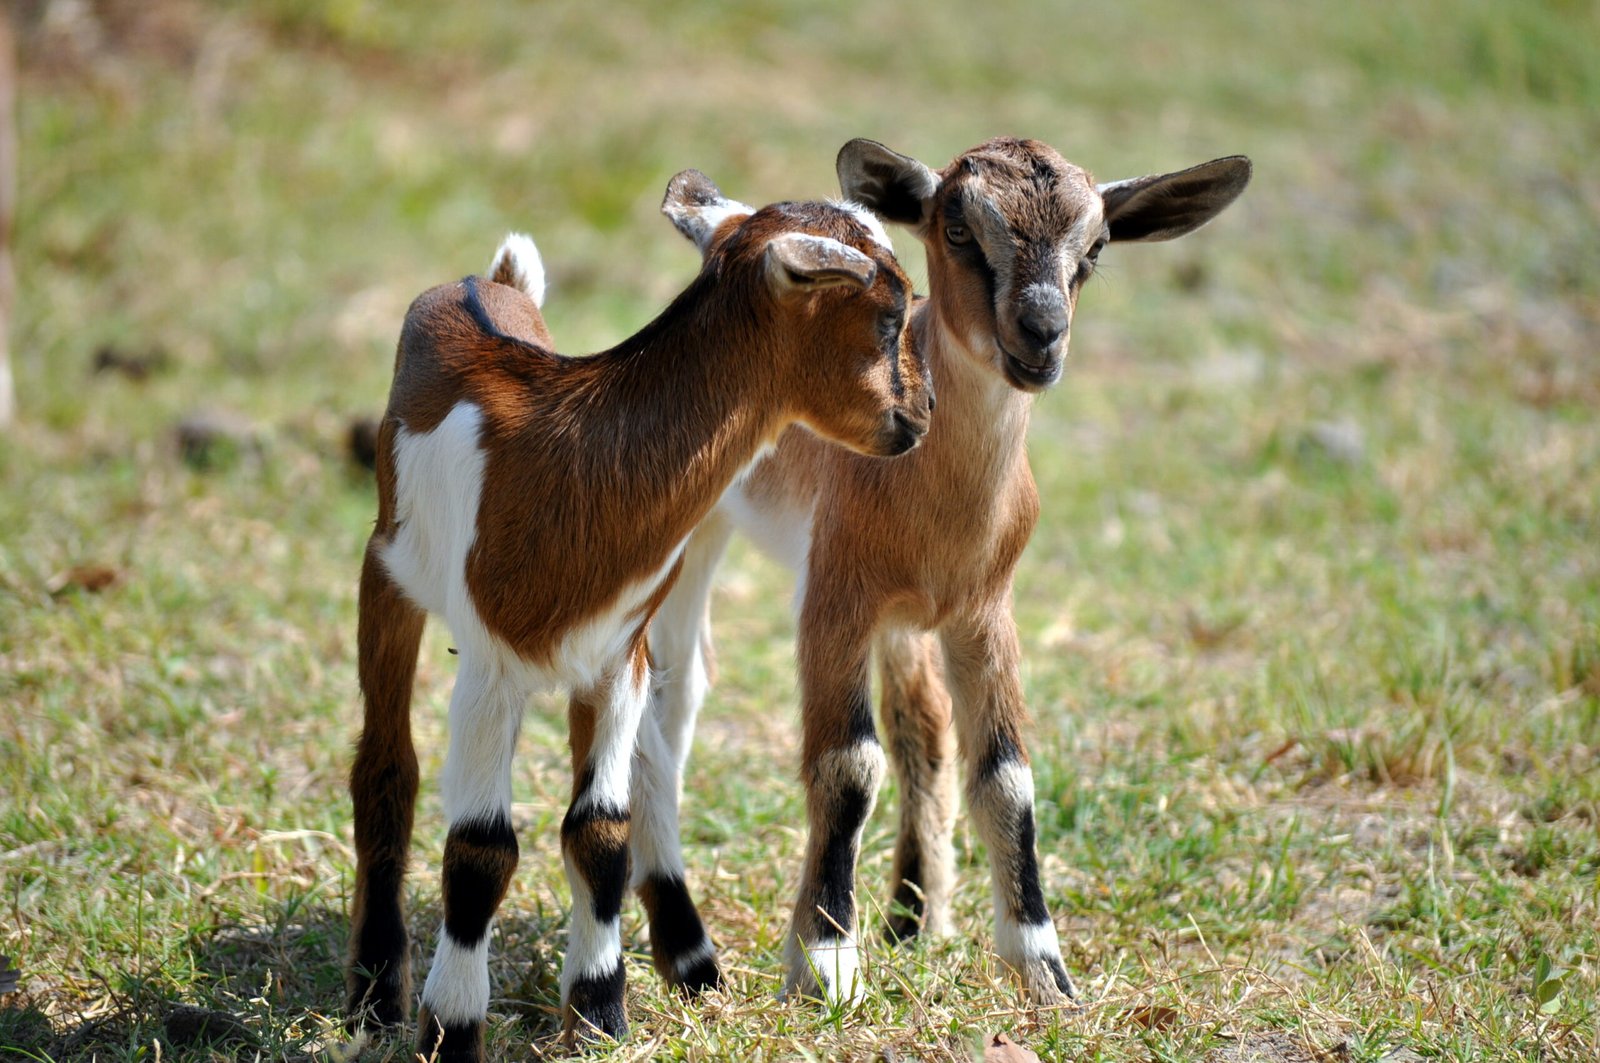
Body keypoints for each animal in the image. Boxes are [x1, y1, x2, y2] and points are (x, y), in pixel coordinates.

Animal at [344, 170, 932, 1058]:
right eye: (889, 316)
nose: (922, 415)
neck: (576, 458)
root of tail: (485, 282)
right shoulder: (490, 667)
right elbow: (479, 849)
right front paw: (451, 1029)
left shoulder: (616, 659)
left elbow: (601, 834)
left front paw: (599, 1013)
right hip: (387, 577)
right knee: (385, 770)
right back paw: (376, 993)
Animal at [627, 138, 1251, 1005]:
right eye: (958, 230)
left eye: (1094, 249)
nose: (1041, 334)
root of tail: (725, 224)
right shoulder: (834, 598)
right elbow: (848, 765)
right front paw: (826, 962)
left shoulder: (981, 611)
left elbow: (1004, 776)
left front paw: (1044, 968)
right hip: (697, 533)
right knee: (671, 699)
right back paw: (692, 951)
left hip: (907, 621)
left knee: (919, 721)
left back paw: (912, 915)